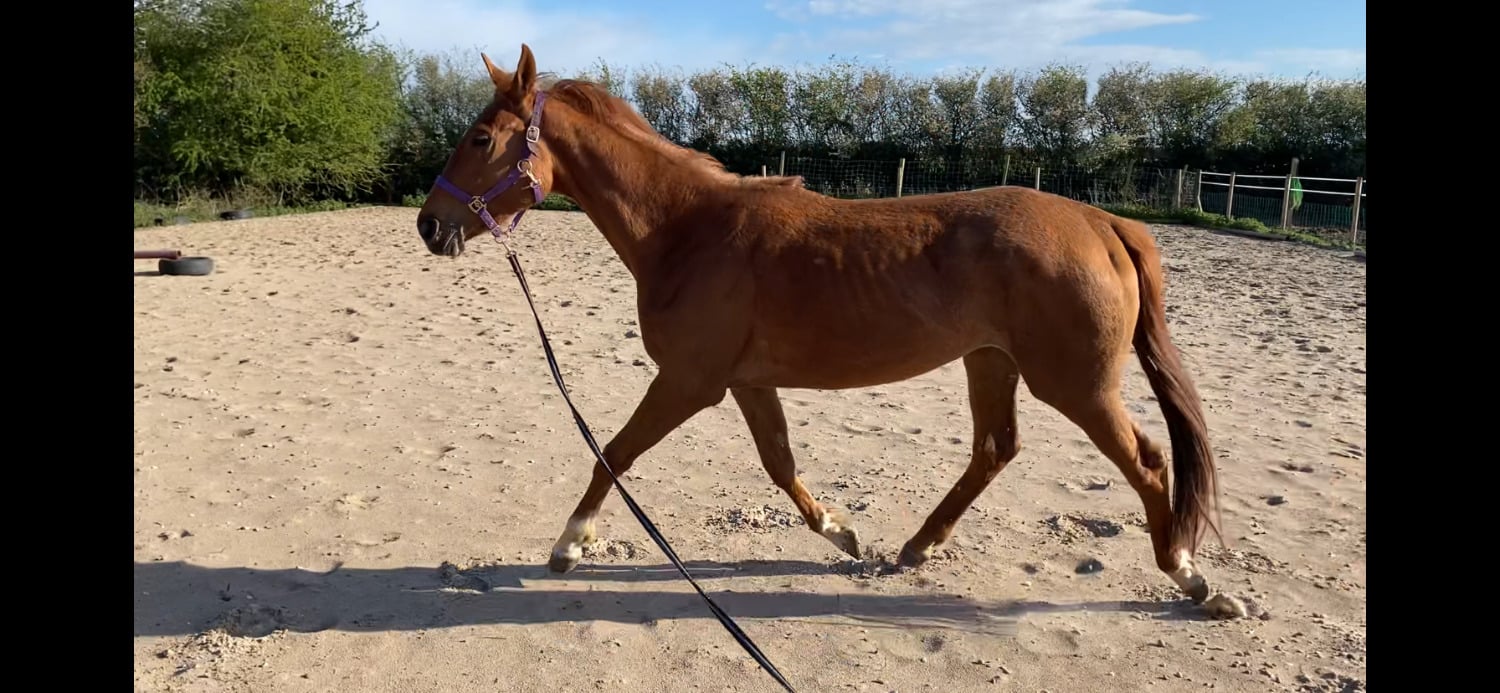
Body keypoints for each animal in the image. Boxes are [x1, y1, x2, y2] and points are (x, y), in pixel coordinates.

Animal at [413, 45, 1246, 619]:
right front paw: (841, 532)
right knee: (994, 449)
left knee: (1146, 463)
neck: (687, 229)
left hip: (1076, 382)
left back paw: (1192, 577)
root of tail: (1103, 223)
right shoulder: (746, 383)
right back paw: (917, 545)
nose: (429, 224)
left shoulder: (688, 381)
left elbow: (612, 453)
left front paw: (570, 542)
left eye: (481, 138)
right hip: (990, 361)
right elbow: (780, 465)